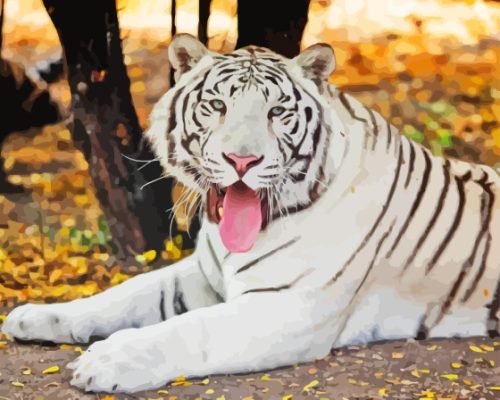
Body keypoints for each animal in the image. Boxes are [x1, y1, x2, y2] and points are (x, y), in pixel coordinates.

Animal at [1, 35, 498, 394]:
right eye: (217, 106)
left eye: (277, 112)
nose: (242, 160)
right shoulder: (202, 274)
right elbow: (122, 294)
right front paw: (33, 317)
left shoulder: (289, 305)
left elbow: (188, 329)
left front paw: (107, 360)